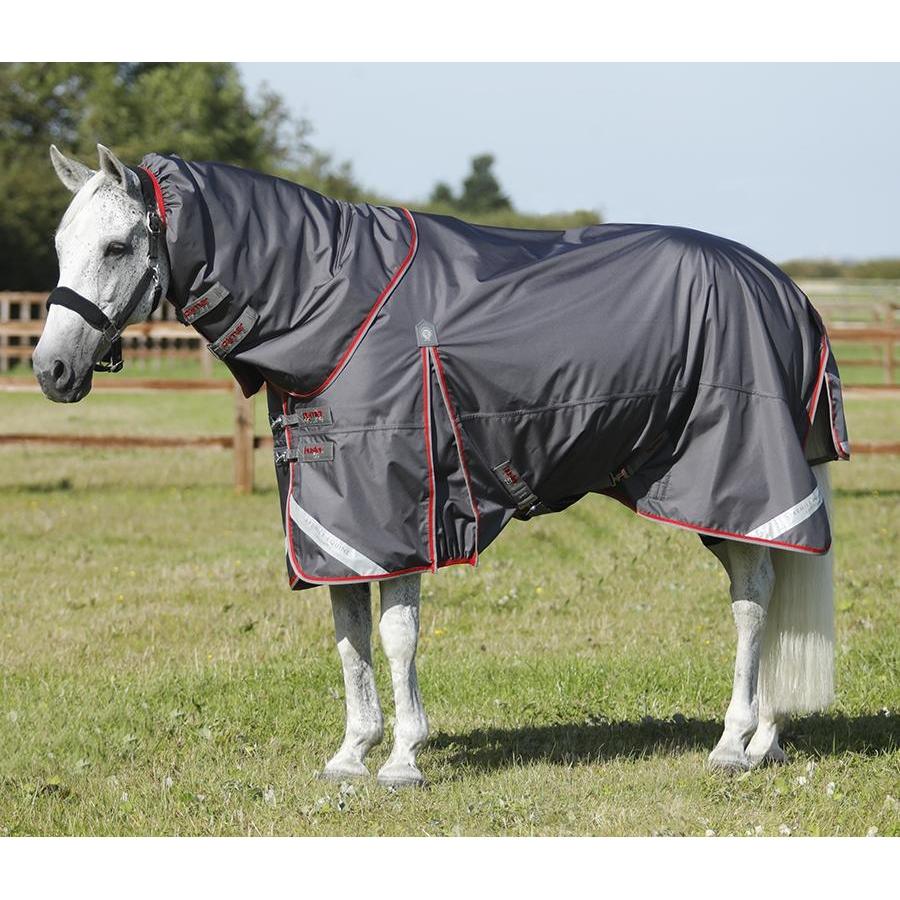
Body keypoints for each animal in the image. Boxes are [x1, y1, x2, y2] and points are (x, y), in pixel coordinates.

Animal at [33, 143, 846, 787]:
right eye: (62, 247)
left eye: (116, 247)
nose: (51, 370)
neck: (337, 308)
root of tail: (787, 291)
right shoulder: (332, 521)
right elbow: (348, 631)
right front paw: (350, 755)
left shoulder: (398, 510)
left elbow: (395, 635)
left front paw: (402, 760)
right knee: (763, 589)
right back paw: (765, 740)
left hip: (735, 480)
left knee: (754, 600)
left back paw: (734, 744)